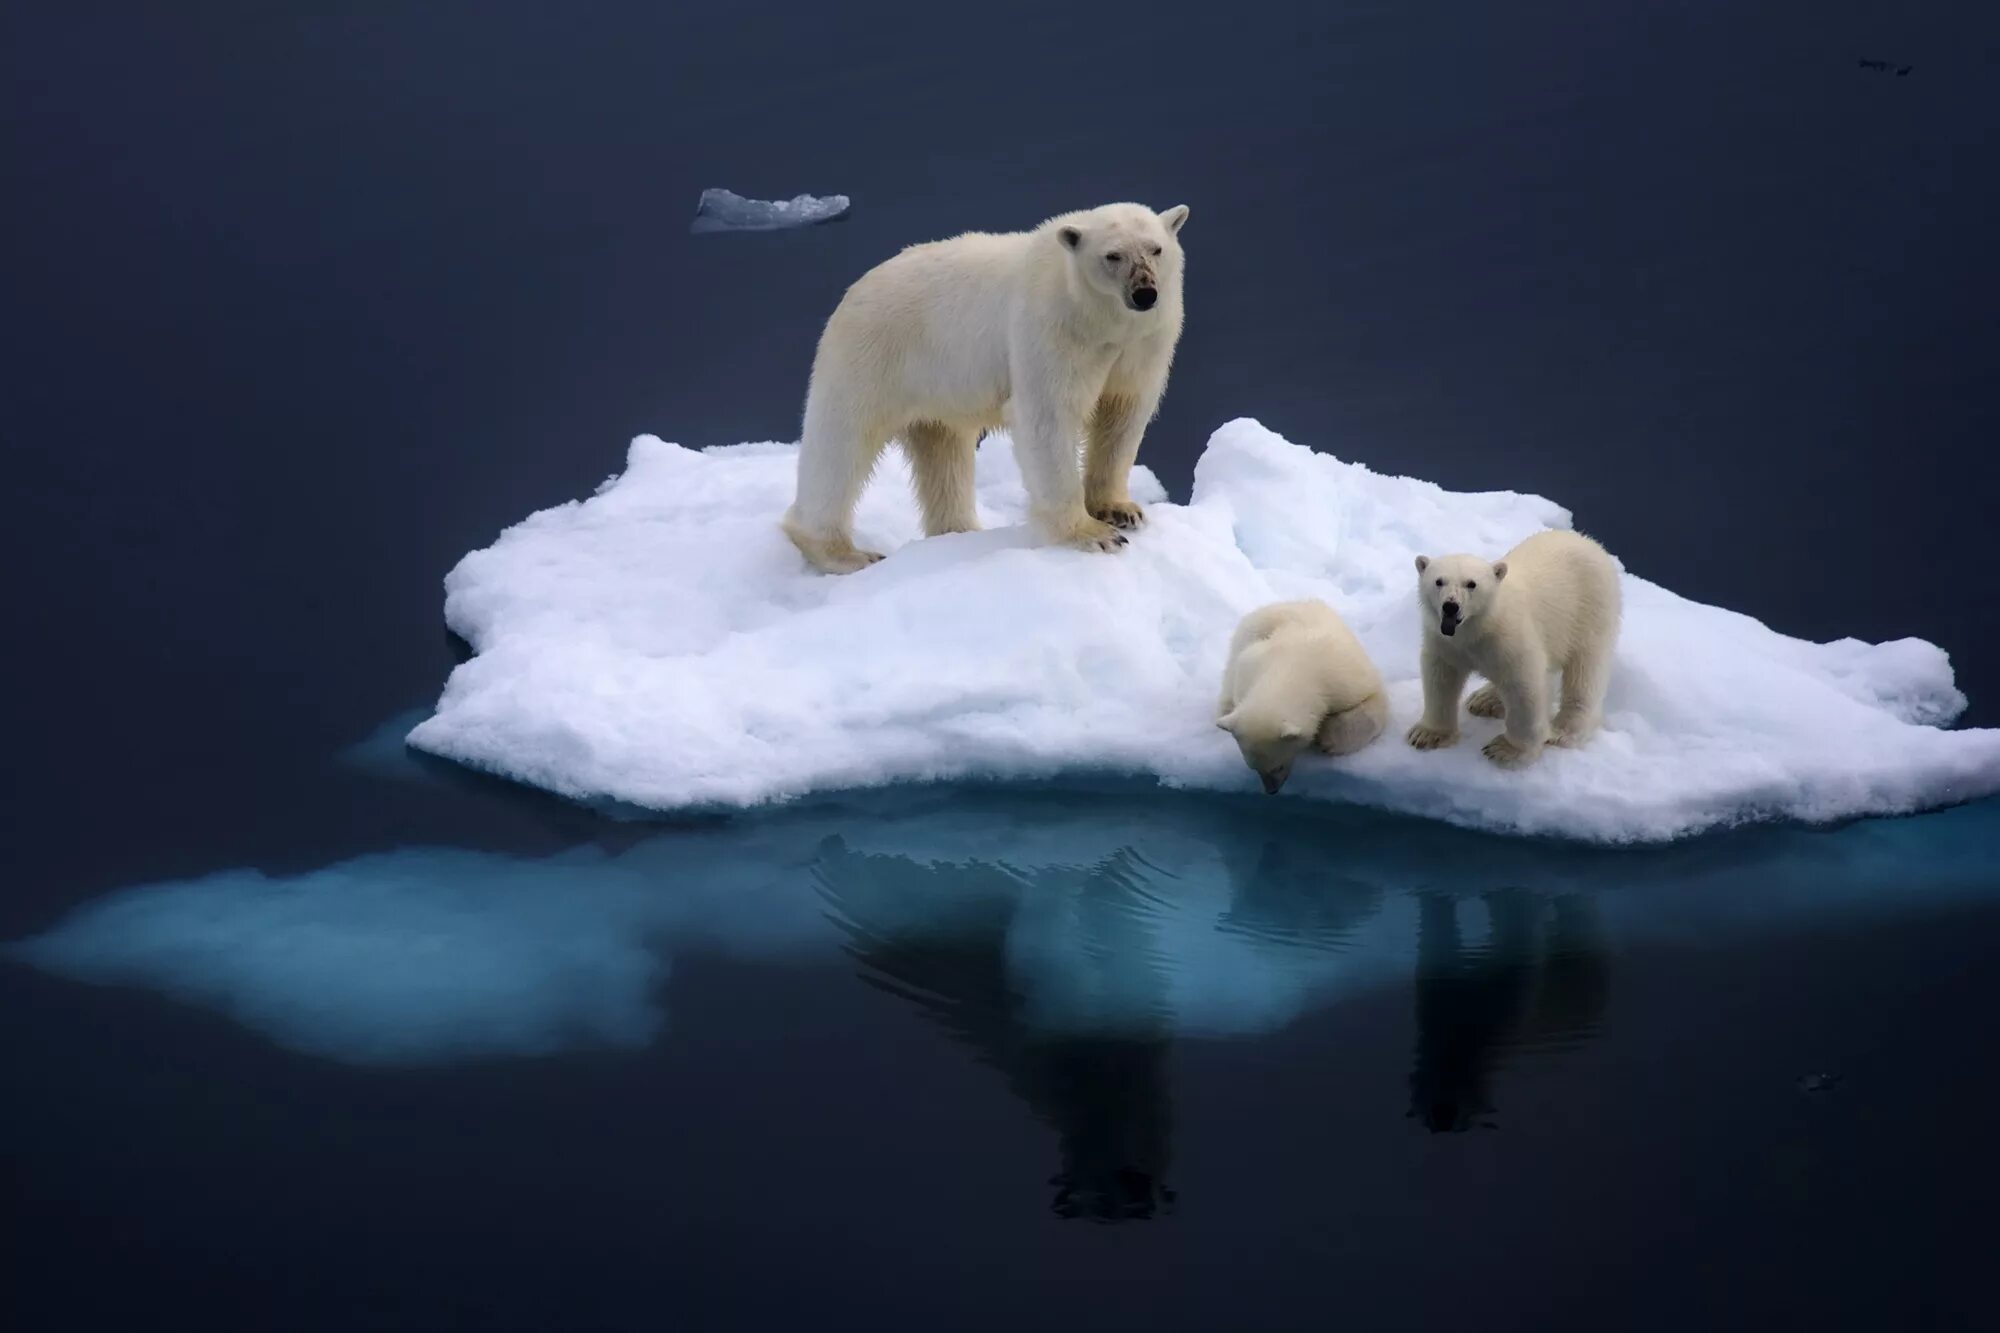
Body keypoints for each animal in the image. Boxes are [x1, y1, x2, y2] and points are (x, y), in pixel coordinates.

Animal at [780, 202, 1184, 572]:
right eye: (1112, 255)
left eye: (1156, 249)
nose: (1145, 293)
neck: (1102, 322)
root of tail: (853, 291)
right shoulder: (1051, 329)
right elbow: (1048, 417)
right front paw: (1093, 534)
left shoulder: (1144, 343)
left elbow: (1123, 415)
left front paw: (1121, 511)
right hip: (871, 356)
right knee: (842, 443)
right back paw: (843, 552)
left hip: (936, 386)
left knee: (943, 453)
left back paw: (959, 531)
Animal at [1216, 600, 1392, 788]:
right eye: (1254, 768)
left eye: (1277, 767)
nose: (1271, 790)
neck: (1289, 668)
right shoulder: (1247, 671)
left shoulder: (1345, 678)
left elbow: (1372, 703)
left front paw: (1328, 739)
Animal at [1408, 524, 1624, 764]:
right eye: (1439, 581)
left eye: (1471, 584)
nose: (1450, 606)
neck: (1480, 626)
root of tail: (1590, 542)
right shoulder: (1446, 643)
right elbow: (1440, 678)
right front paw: (1427, 734)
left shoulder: (1510, 637)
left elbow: (1525, 686)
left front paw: (1506, 750)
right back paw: (1485, 700)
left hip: (1590, 610)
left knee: (1585, 670)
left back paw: (1563, 731)